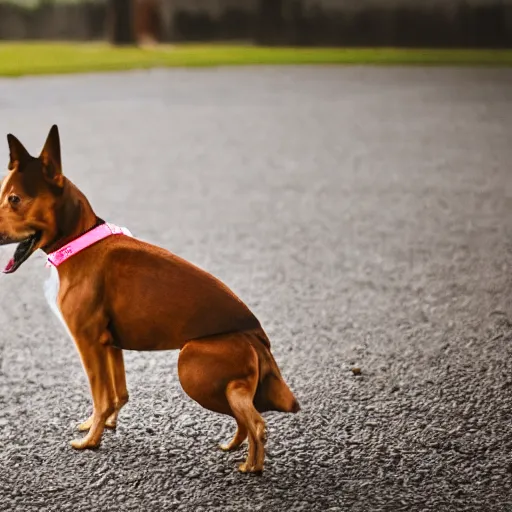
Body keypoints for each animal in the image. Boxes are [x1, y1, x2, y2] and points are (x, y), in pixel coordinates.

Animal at [0, 126, 298, 474]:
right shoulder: (109, 345)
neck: (80, 241)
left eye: (14, 199)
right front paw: (102, 426)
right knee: (244, 412)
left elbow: (101, 396)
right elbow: (117, 394)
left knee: (255, 420)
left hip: (193, 363)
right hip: (216, 377)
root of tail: (258, 337)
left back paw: (252, 465)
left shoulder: (88, 342)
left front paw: (90, 442)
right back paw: (235, 447)